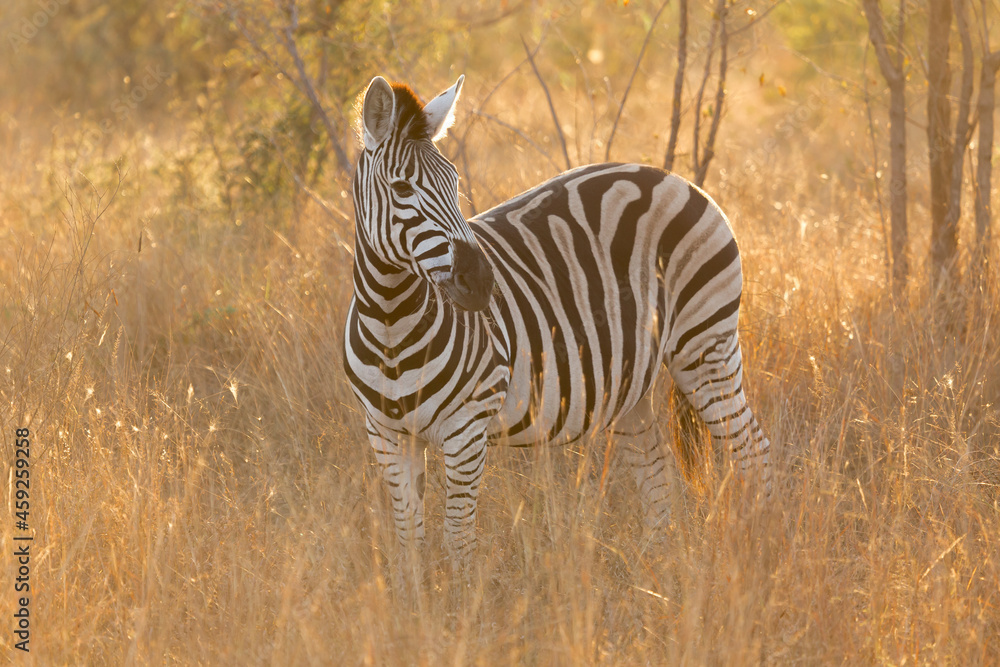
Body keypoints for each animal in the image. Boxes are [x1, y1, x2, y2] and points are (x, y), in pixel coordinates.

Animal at [343, 74, 772, 564]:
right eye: (401, 190)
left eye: (454, 183)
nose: (481, 281)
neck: (390, 323)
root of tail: (674, 178)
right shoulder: (386, 436)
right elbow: (409, 541)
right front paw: (415, 586)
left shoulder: (467, 430)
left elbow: (458, 541)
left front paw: (460, 587)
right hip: (633, 380)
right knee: (657, 474)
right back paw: (655, 570)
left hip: (705, 345)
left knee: (752, 452)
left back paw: (760, 550)